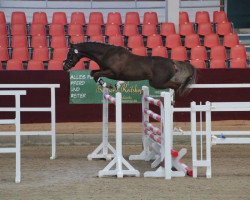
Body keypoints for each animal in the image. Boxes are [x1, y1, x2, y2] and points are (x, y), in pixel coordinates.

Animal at [63, 41, 196, 95]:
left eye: (70, 54)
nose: (65, 67)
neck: (106, 53)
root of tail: (171, 61)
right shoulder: (104, 70)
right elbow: (93, 73)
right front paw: (111, 85)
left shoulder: (112, 73)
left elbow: (96, 75)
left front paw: (109, 85)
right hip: (157, 83)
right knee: (175, 85)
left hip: (157, 83)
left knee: (176, 85)